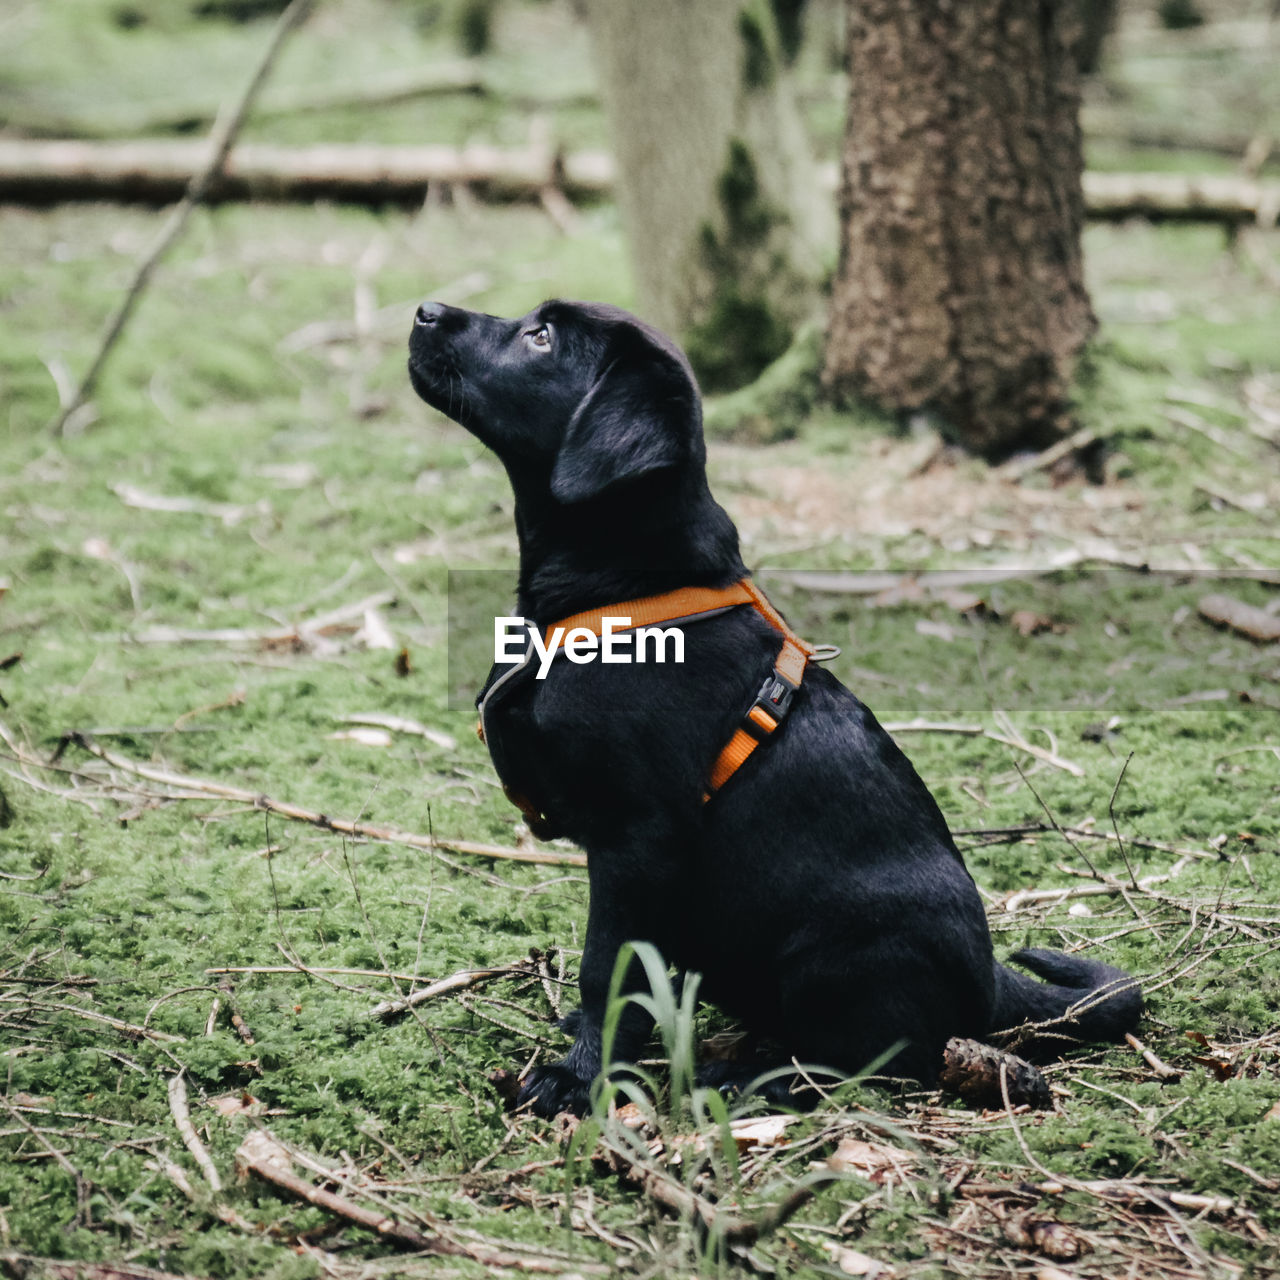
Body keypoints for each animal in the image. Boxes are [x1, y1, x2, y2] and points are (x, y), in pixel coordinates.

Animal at [401, 294, 1141, 1116]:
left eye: (541, 337)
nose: (426, 309)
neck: (625, 589)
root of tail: (987, 979)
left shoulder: (635, 842)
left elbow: (609, 967)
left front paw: (580, 1077)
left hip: (835, 949)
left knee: (887, 1055)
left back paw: (761, 1075)